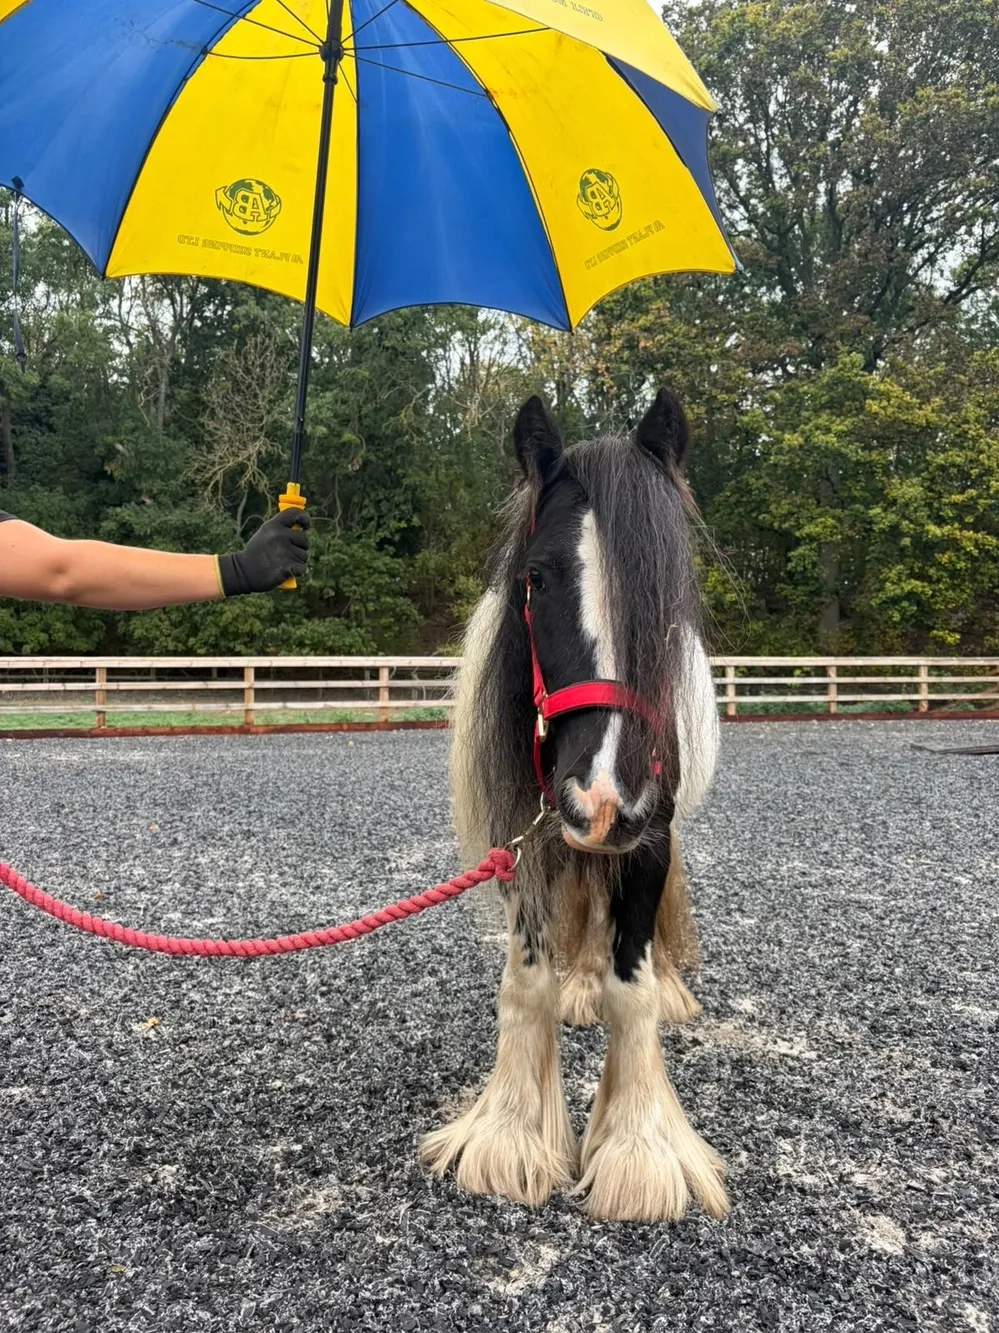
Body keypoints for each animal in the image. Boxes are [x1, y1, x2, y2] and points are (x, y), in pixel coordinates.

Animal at [420, 387, 729, 1223]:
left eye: (665, 592)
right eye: (534, 579)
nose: (602, 795)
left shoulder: (646, 836)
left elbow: (633, 989)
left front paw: (637, 1149)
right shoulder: (526, 837)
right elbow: (525, 981)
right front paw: (510, 1133)